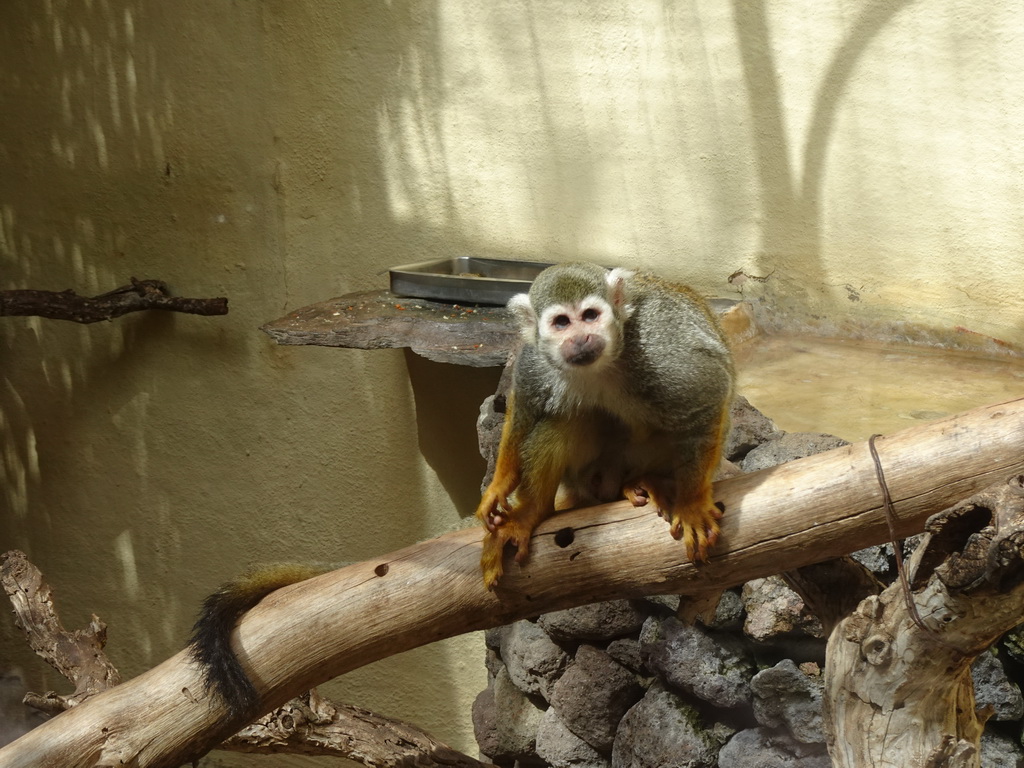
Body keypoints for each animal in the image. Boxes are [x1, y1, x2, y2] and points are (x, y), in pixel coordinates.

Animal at [475, 262, 733, 593]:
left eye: (590, 316)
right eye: (561, 323)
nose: (581, 338)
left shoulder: (659, 347)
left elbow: (707, 396)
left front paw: (692, 504)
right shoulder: (535, 357)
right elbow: (525, 410)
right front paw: (498, 487)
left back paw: (647, 481)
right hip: (585, 476)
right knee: (568, 419)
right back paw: (532, 512)